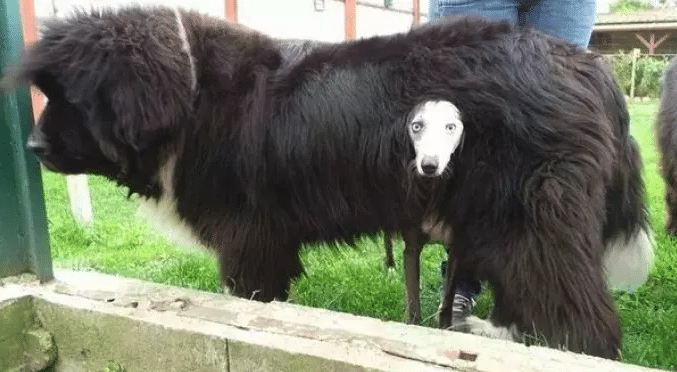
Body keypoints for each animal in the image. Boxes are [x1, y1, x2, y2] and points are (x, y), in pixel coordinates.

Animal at [2, 5, 652, 358]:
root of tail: (591, 69)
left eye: (73, 97)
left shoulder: (249, 235)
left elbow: (251, 294)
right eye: (49, 92)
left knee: (577, 315)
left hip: (527, 220)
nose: (32, 147)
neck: (190, 97)